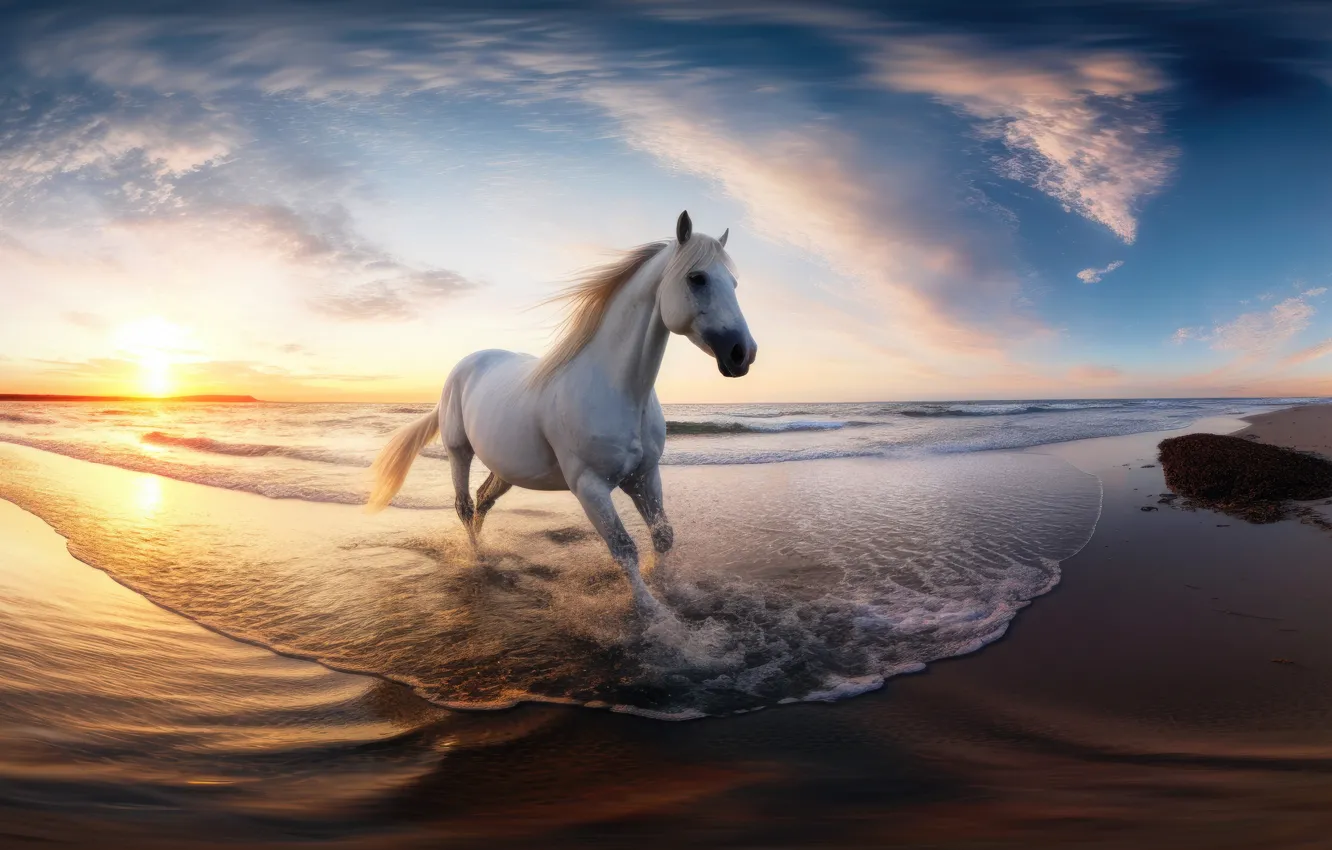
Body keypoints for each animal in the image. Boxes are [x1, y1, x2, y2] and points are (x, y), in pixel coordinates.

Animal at [366, 211, 757, 615]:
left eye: (733, 283)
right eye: (697, 278)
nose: (742, 353)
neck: (617, 389)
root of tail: (466, 365)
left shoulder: (645, 476)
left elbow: (663, 536)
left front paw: (667, 586)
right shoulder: (590, 486)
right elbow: (623, 548)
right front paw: (652, 612)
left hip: (506, 467)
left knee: (483, 500)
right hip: (459, 450)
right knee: (464, 505)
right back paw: (477, 560)